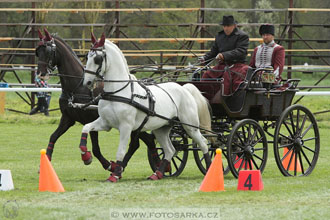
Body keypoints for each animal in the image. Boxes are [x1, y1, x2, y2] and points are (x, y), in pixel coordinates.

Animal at [81, 33, 213, 182]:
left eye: (97, 59)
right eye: (87, 56)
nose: (87, 82)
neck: (117, 92)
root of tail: (184, 88)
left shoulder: (126, 127)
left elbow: (121, 151)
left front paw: (115, 174)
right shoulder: (105, 123)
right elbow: (86, 127)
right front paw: (86, 156)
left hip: (190, 127)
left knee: (203, 143)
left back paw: (209, 168)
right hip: (161, 129)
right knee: (170, 150)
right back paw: (158, 173)